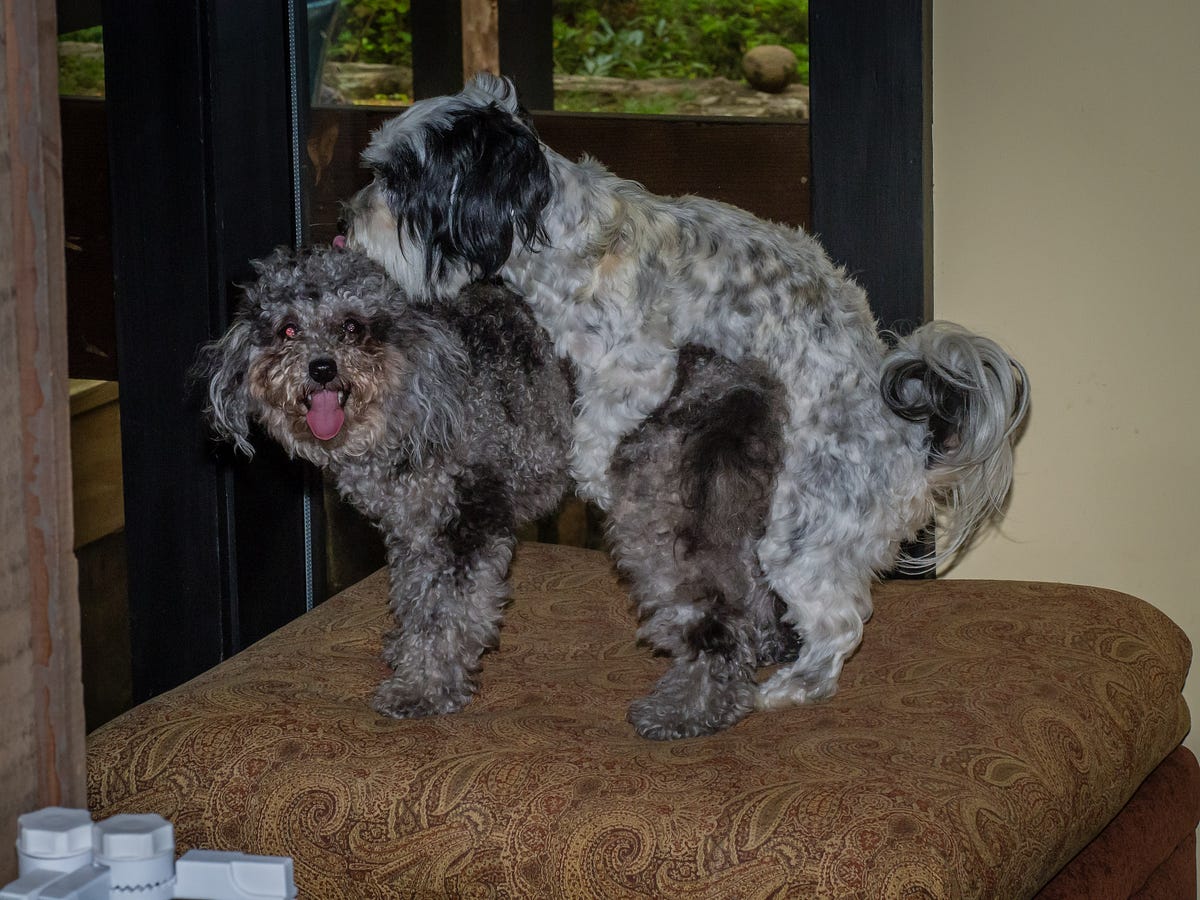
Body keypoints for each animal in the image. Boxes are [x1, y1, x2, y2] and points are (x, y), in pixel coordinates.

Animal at [198, 245, 572, 718]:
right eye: (288, 329)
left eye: (352, 326)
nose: (322, 367)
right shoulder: (414, 527)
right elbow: (416, 594)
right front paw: (407, 648)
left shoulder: (465, 524)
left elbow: (446, 613)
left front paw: (424, 687)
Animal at [342, 74, 1030, 736]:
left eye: (399, 179)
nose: (349, 219)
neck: (574, 243)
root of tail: (914, 449)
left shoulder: (641, 366)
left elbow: (594, 434)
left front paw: (594, 474)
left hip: (798, 540)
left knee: (841, 626)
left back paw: (790, 687)